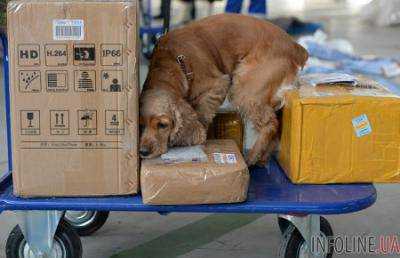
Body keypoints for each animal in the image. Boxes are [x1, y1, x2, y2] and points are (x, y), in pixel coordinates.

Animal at [139, 13, 308, 164]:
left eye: (162, 125)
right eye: (140, 125)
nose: (143, 152)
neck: (171, 63)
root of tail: (296, 46)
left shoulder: (218, 84)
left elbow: (202, 114)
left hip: (244, 87)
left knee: (271, 124)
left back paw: (251, 157)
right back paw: (263, 157)